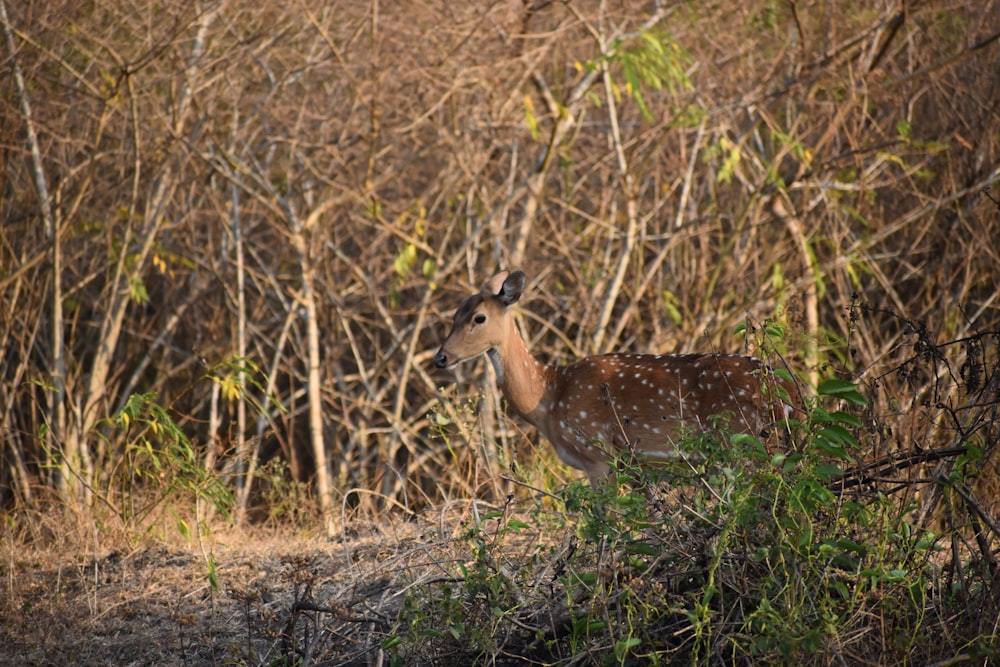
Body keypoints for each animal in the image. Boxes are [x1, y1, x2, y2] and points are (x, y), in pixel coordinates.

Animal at [430, 270, 796, 486]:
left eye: (479, 318)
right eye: (454, 314)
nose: (440, 358)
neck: (548, 397)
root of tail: (788, 390)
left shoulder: (597, 454)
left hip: (741, 441)